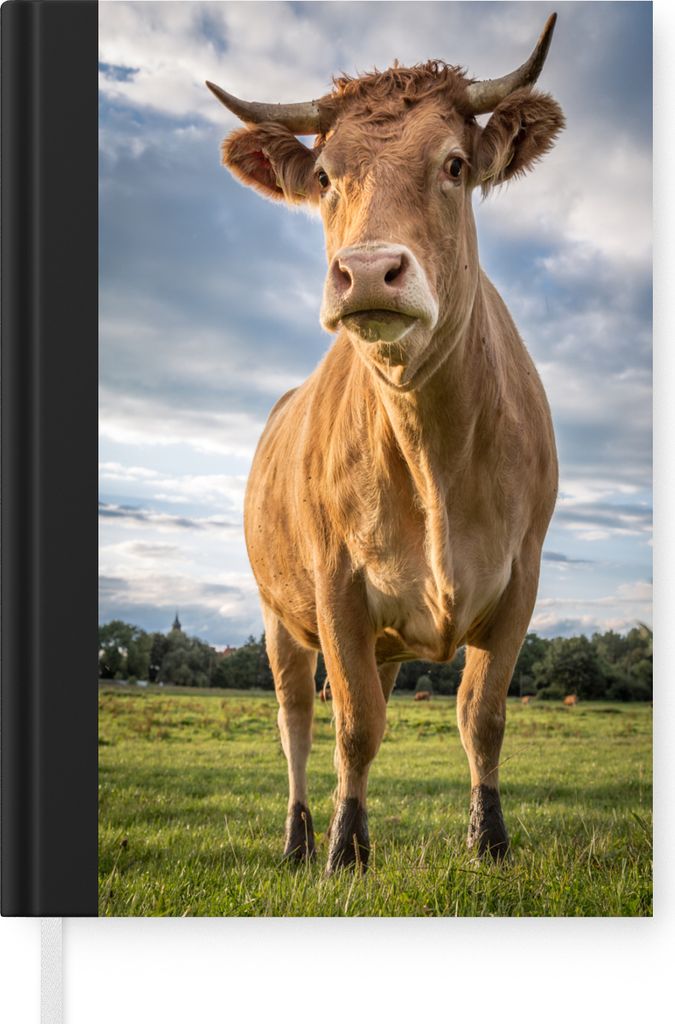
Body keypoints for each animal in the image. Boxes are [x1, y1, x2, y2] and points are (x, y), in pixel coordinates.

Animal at [207, 13, 563, 873]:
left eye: (454, 163)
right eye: (324, 176)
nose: (367, 271)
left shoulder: (521, 578)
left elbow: (480, 716)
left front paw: (488, 840)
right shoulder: (334, 584)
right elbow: (354, 726)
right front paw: (342, 849)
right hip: (278, 617)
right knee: (298, 722)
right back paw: (301, 837)